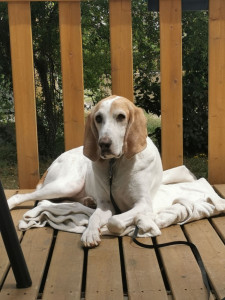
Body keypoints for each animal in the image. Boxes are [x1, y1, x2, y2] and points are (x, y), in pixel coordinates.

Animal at [7, 95, 163, 246]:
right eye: (98, 118)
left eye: (121, 117)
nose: (103, 144)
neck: (115, 163)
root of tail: (54, 161)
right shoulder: (106, 204)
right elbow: (96, 218)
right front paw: (90, 233)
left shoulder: (143, 204)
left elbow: (114, 220)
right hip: (68, 185)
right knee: (32, 199)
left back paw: (88, 201)